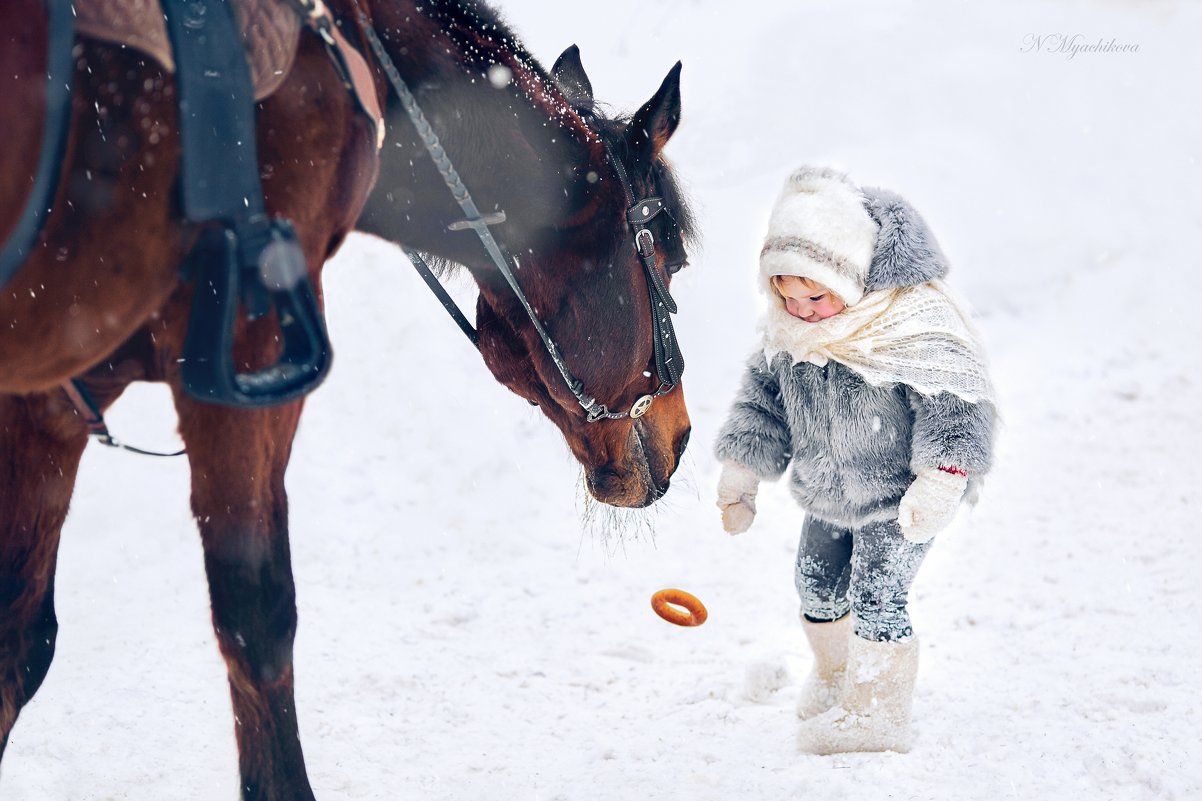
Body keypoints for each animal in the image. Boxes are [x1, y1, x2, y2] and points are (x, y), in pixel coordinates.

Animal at [0, 1, 692, 798]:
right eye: (672, 260)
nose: (681, 432)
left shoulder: (51, 395)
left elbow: (18, 641)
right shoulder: (254, 362)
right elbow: (258, 623)